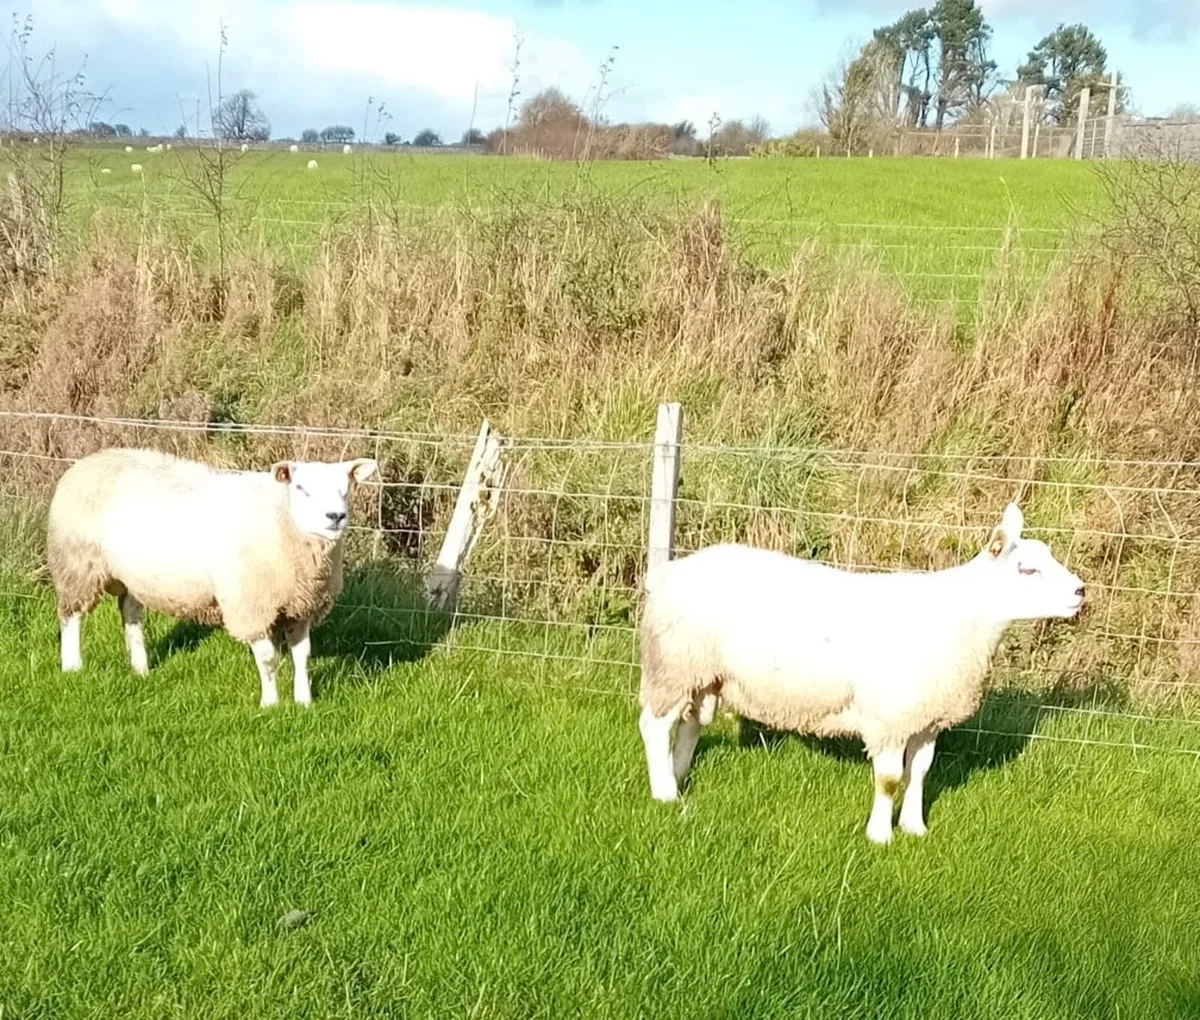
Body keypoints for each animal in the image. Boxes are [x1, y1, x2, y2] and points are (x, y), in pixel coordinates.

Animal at [47, 448, 378, 708]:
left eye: (347, 488)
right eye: (301, 488)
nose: (335, 517)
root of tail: (89, 460)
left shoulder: (300, 607)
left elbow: (302, 656)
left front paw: (304, 701)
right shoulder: (251, 607)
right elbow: (268, 659)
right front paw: (271, 704)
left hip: (131, 575)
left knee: (131, 615)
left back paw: (140, 668)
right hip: (77, 563)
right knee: (71, 615)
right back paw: (73, 666)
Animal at [637, 503, 1085, 844]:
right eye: (1027, 570)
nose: (1081, 591)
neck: (966, 620)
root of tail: (667, 572)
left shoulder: (926, 717)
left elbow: (920, 772)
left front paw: (915, 827)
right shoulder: (890, 716)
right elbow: (889, 779)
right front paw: (881, 835)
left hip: (702, 672)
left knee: (691, 723)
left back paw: (678, 775)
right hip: (672, 663)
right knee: (655, 725)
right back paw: (665, 794)